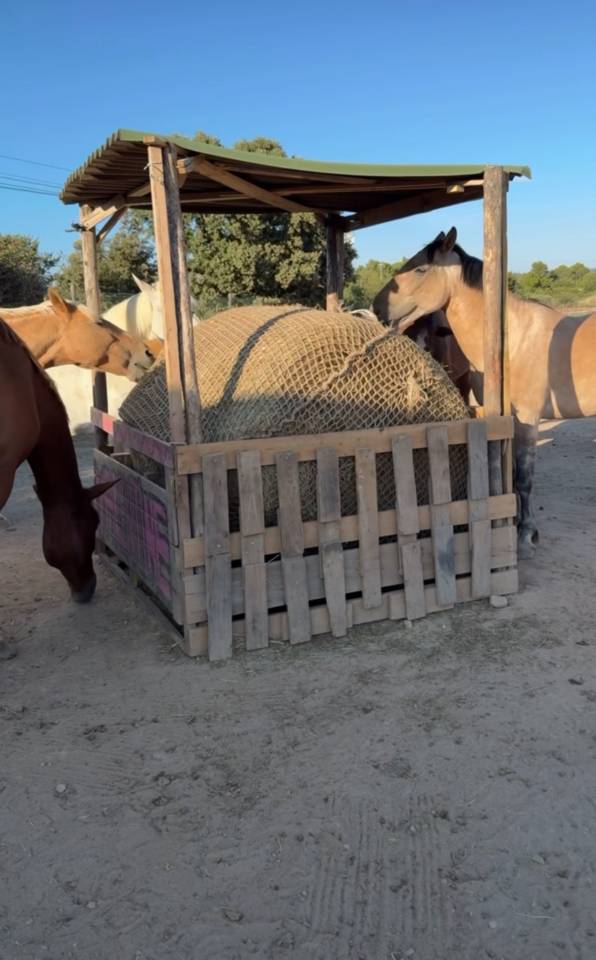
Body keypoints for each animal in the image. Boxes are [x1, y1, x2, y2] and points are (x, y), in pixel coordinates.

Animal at [372, 227, 596, 552]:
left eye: (421, 269)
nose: (376, 306)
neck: (510, 341)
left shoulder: (528, 418)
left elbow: (524, 477)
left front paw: (527, 533)